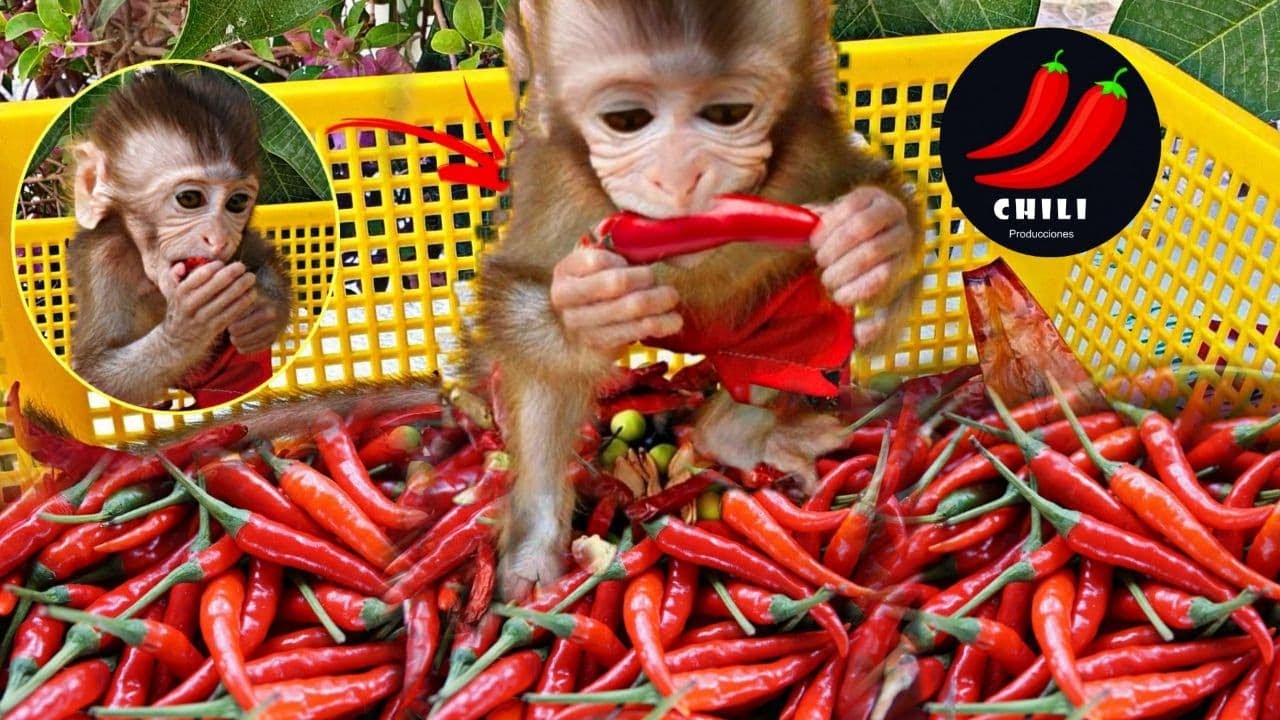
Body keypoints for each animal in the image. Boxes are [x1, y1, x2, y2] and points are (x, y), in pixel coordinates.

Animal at [64, 66, 292, 409]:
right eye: (189, 199)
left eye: (237, 202)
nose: (218, 238)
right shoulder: (104, 260)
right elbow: (95, 373)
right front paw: (189, 326)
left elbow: (259, 254)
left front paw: (263, 313)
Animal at [472, 0, 925, 598]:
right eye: (626, 120)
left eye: (728, 113)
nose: (680, 177)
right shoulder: (557, 196)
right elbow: (518, 290)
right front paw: (588, 307)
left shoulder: (813, 155)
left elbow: (867, 193)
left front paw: (873, 233)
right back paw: (534, 553)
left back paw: (730, 436)